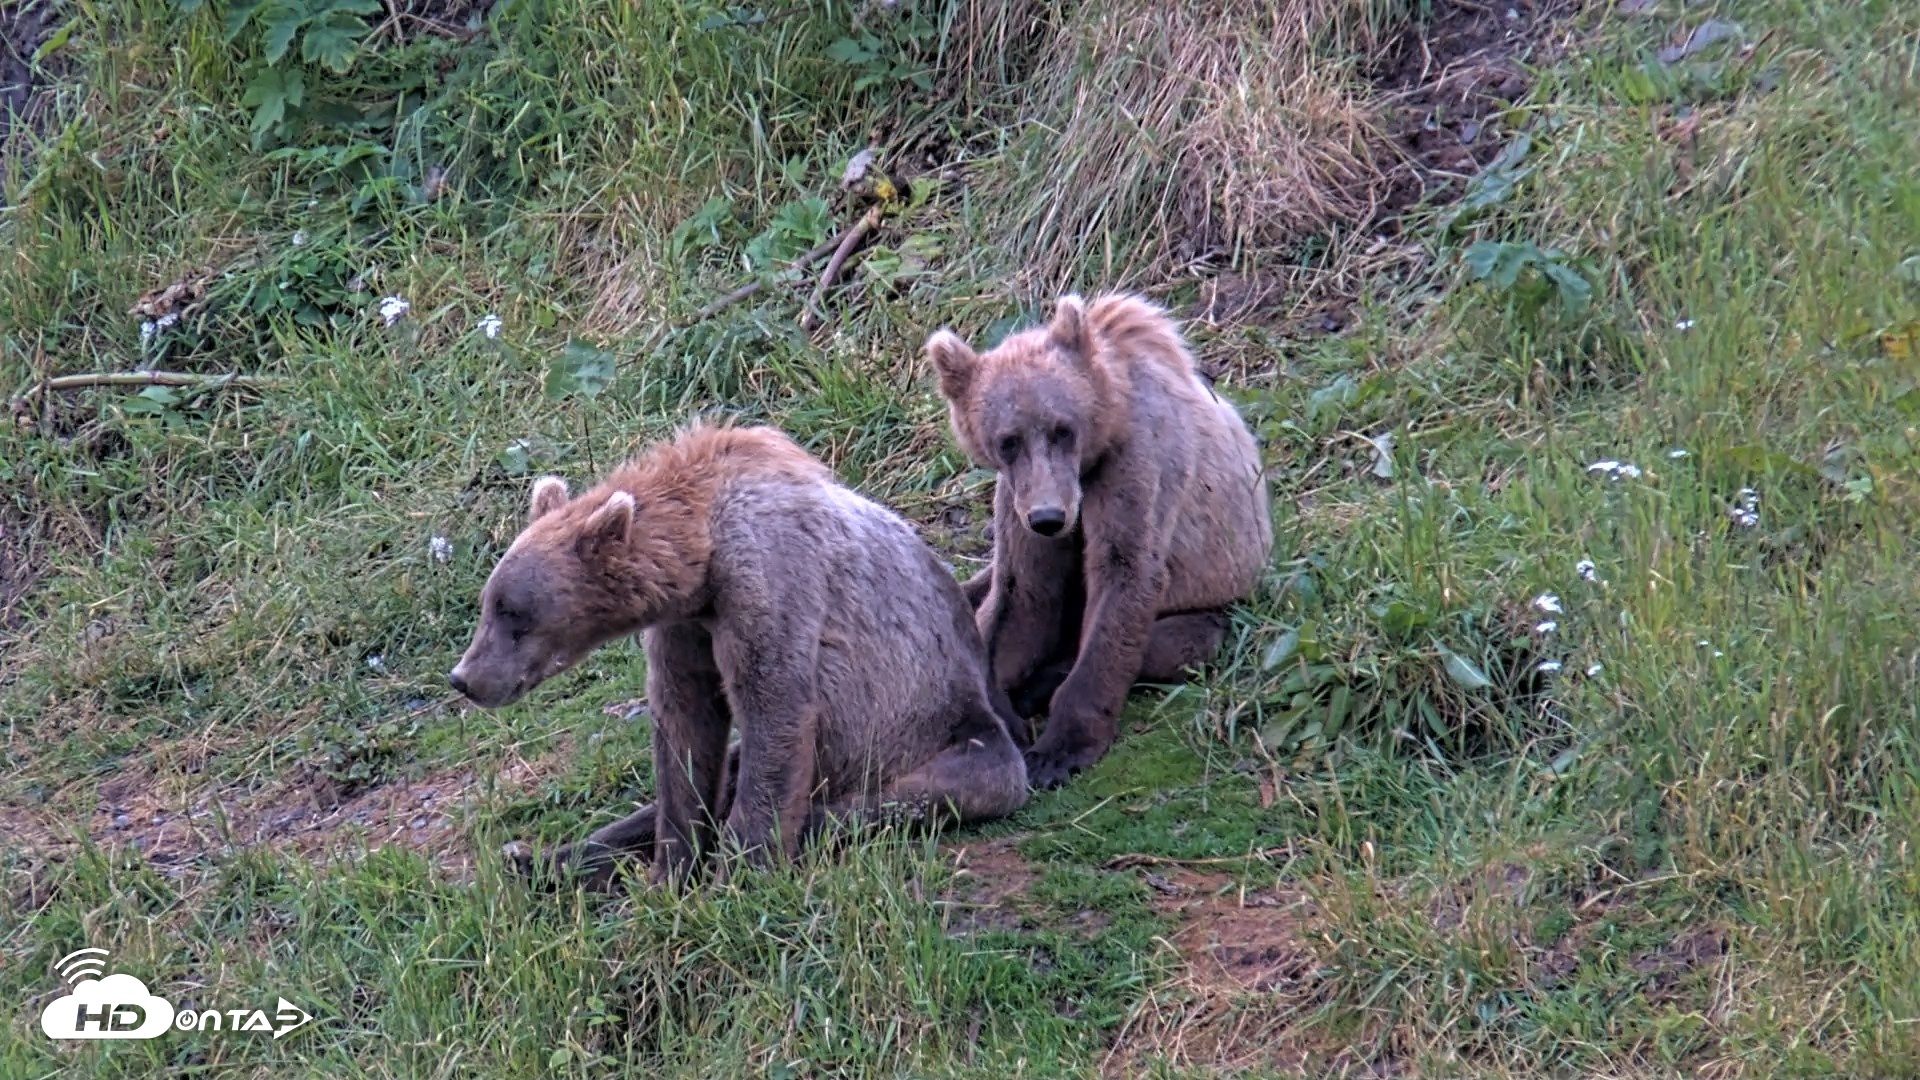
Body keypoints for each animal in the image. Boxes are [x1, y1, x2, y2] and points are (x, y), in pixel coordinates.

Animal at [447, 421, 1030, 889]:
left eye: (513, 614)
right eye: (488, 604)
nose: (464, 678)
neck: (702, 556)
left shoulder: (770, 577)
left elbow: (774, 706)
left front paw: (739, 871)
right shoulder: (685, 628)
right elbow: (686, 732)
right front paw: (670, 871)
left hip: (940, 728)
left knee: (926, 792)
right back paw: (538, 858)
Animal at [926, 291, 1273, 789]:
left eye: (1062, 428)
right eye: (1008, 440)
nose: (1049, 518)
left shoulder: (1136, 466)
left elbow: (1123, 576)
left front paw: (1058, 751)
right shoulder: (1019, 499)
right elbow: (1021, 594)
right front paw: (1004, 715)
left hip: (1222, 599)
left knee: (1179, 641)